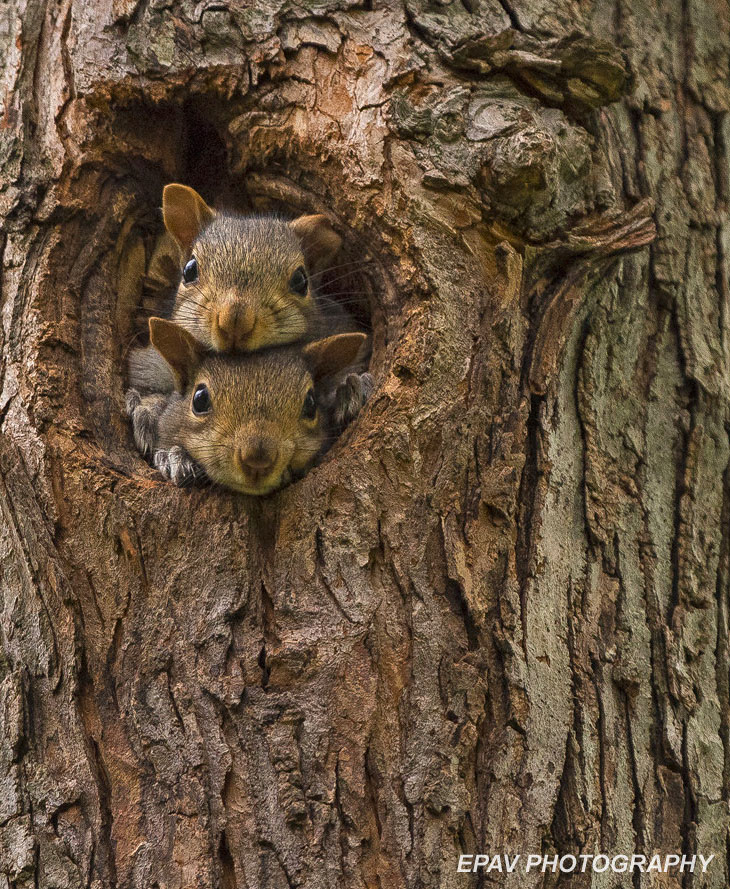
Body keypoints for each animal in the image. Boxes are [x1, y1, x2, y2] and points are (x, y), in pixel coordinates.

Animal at [126, 180, 372, 478]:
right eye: (189, 270)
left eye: (301, 280)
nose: (235, 319)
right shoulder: (149, 363)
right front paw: (148, 414)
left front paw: (353, 388)